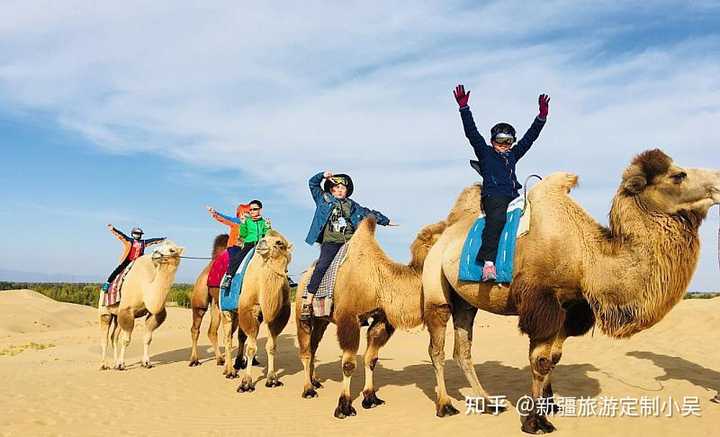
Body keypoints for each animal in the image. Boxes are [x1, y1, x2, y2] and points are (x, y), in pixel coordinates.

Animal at [99, 240, 186, 370]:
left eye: (172, 250)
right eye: (159, 247)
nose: (155, 252)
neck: (146, 287)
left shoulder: (153, 313)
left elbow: (147, 339)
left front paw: (146, 363)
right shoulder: (127, 310)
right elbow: (126, 340)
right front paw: (121, 364)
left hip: (117, 315)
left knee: (114, 337)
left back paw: (114, 363)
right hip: (105, 312)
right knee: (104, 337)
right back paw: (104, 365)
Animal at [190, 233, 229, 366]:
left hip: (216, 304)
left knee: (211, 331)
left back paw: (220, 359)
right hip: (200, 300)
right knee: (195, 329)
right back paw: (194, 360)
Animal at [292, 216, 444, 418]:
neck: (379, 282)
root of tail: (303, 277)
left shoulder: (381, 318)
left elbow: (371, 359)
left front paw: (371, 398)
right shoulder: (348, 317)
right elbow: (348, 363)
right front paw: (344, 407)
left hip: (322, 320)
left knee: (314, 345)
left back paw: (315, 381)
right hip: (303, 315)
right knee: (306, 350)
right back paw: (308, 389)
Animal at [422, 150, 720, 432]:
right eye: (678, 175)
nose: (718, 182)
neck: (585, 256)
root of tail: (442, 237)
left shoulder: (569, 305)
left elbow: (554, 357)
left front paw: (550, 405)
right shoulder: (541, 303)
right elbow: (540, 360)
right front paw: (536, 422)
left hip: (466, 301)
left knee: (463, 350)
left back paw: (487, 402)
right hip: (436, 289)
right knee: (436, 348)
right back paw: (445, 405)